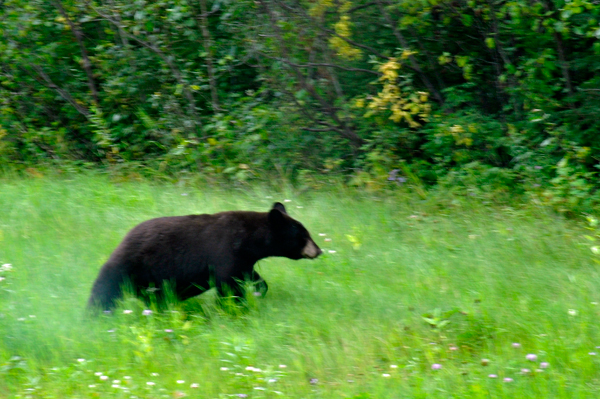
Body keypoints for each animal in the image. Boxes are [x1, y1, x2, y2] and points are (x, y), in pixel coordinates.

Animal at [86, 202, 322, 310]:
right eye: (303, 235)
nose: (318, 250)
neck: (249, 239)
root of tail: (121, 243)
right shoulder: (226, 252)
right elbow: (228, 284)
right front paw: (233, 306)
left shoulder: (244, 260)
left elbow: (250, 276)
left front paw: (258, 290)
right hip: (127, 267)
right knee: (103, 293)